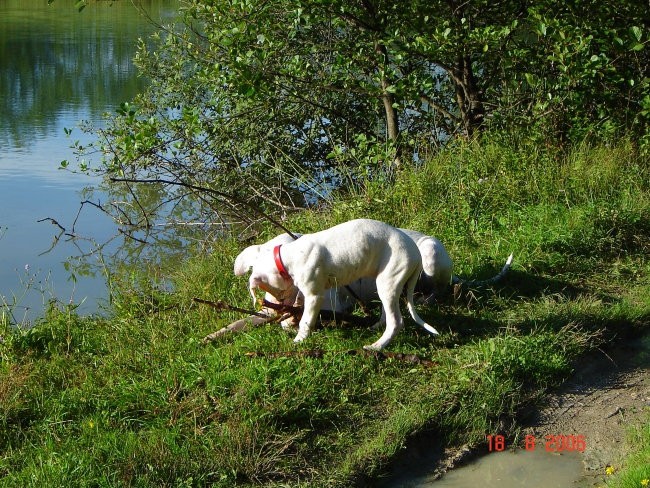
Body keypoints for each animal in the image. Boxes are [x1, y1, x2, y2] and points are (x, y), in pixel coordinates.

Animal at [230, 218, 438, 350]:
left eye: (277, 294)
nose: (279, 308)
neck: (288, 257)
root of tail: (416, 253)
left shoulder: (314, 296)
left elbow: (306, 320)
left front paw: (299, 340)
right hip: (386, 284)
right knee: (388, 314)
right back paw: (375, 327)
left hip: (388, 281)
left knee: (396, 322)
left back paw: (376, 347)